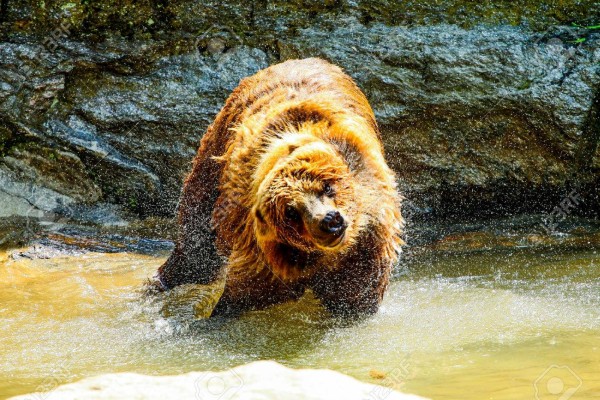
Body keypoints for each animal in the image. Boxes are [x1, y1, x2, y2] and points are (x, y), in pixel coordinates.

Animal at [157, 57, 406, 318]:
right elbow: (242, 292)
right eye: (291, 212)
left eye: (327, 187)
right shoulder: (261, 251)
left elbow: (356, 293)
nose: (330, 220)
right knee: (196, 237)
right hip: (215, 156)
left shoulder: (367, 242)